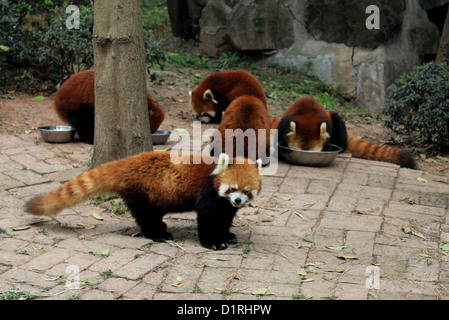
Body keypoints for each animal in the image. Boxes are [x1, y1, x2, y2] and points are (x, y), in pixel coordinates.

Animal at [24, 152, 260, 250]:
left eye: (246, 191)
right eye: (232, 188)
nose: (237, 200)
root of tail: (128, 162)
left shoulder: (225, 205)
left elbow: (225, 218)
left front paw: (226, 235)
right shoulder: (208, 195)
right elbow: (208, 220)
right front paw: (213, 242)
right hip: (141, 192)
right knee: (145, 216)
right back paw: (158, 233)